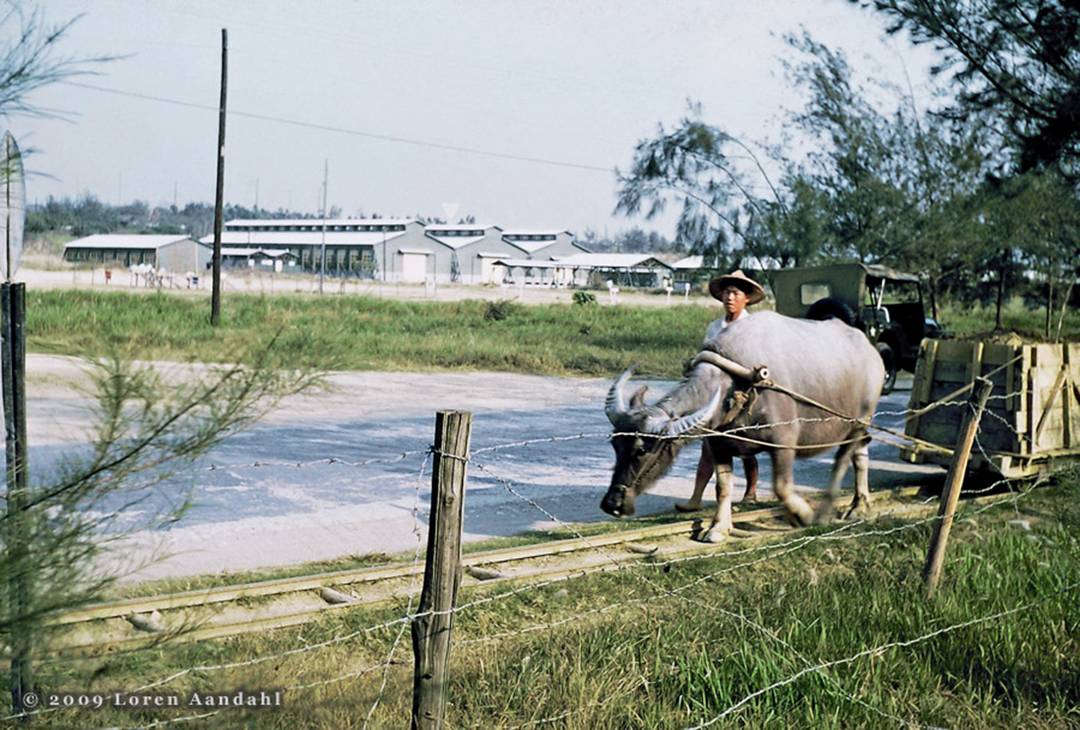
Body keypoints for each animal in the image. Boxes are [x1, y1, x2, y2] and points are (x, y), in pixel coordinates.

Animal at [600, 311, 884, 542]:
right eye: (616, 445)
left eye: (642, 450)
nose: (612, 503)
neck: (739, 383)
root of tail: (873, 355)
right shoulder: (718, 444)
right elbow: (722, 488)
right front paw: (718, 528)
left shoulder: (784, 441)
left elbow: (781, 487)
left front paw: (803, 515)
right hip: (860, 428)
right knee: (861, 453)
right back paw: (860, 505)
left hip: (859, 420)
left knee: (842, 460)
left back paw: (828, 510)